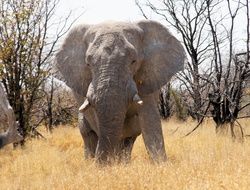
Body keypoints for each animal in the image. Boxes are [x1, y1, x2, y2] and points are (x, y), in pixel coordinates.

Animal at [56, 20, 186, 163]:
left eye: (133, 61)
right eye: (88, 64)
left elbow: (150, 122)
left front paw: (160, 165)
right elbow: (98, 121)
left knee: (129, 139)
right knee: (88, 134)